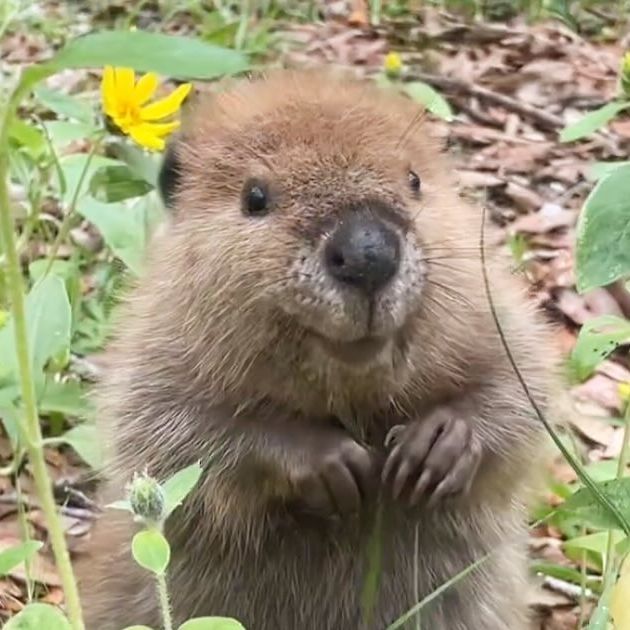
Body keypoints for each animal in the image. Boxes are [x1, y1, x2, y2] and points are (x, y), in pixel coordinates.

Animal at [80, 70, 556, 630]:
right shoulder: (155, 338)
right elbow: (167, 432)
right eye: (255, 196)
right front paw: (333, 465)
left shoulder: (490, 304)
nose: (369, 254)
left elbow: (525, 388)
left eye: (414, 180)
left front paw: (433, 447)